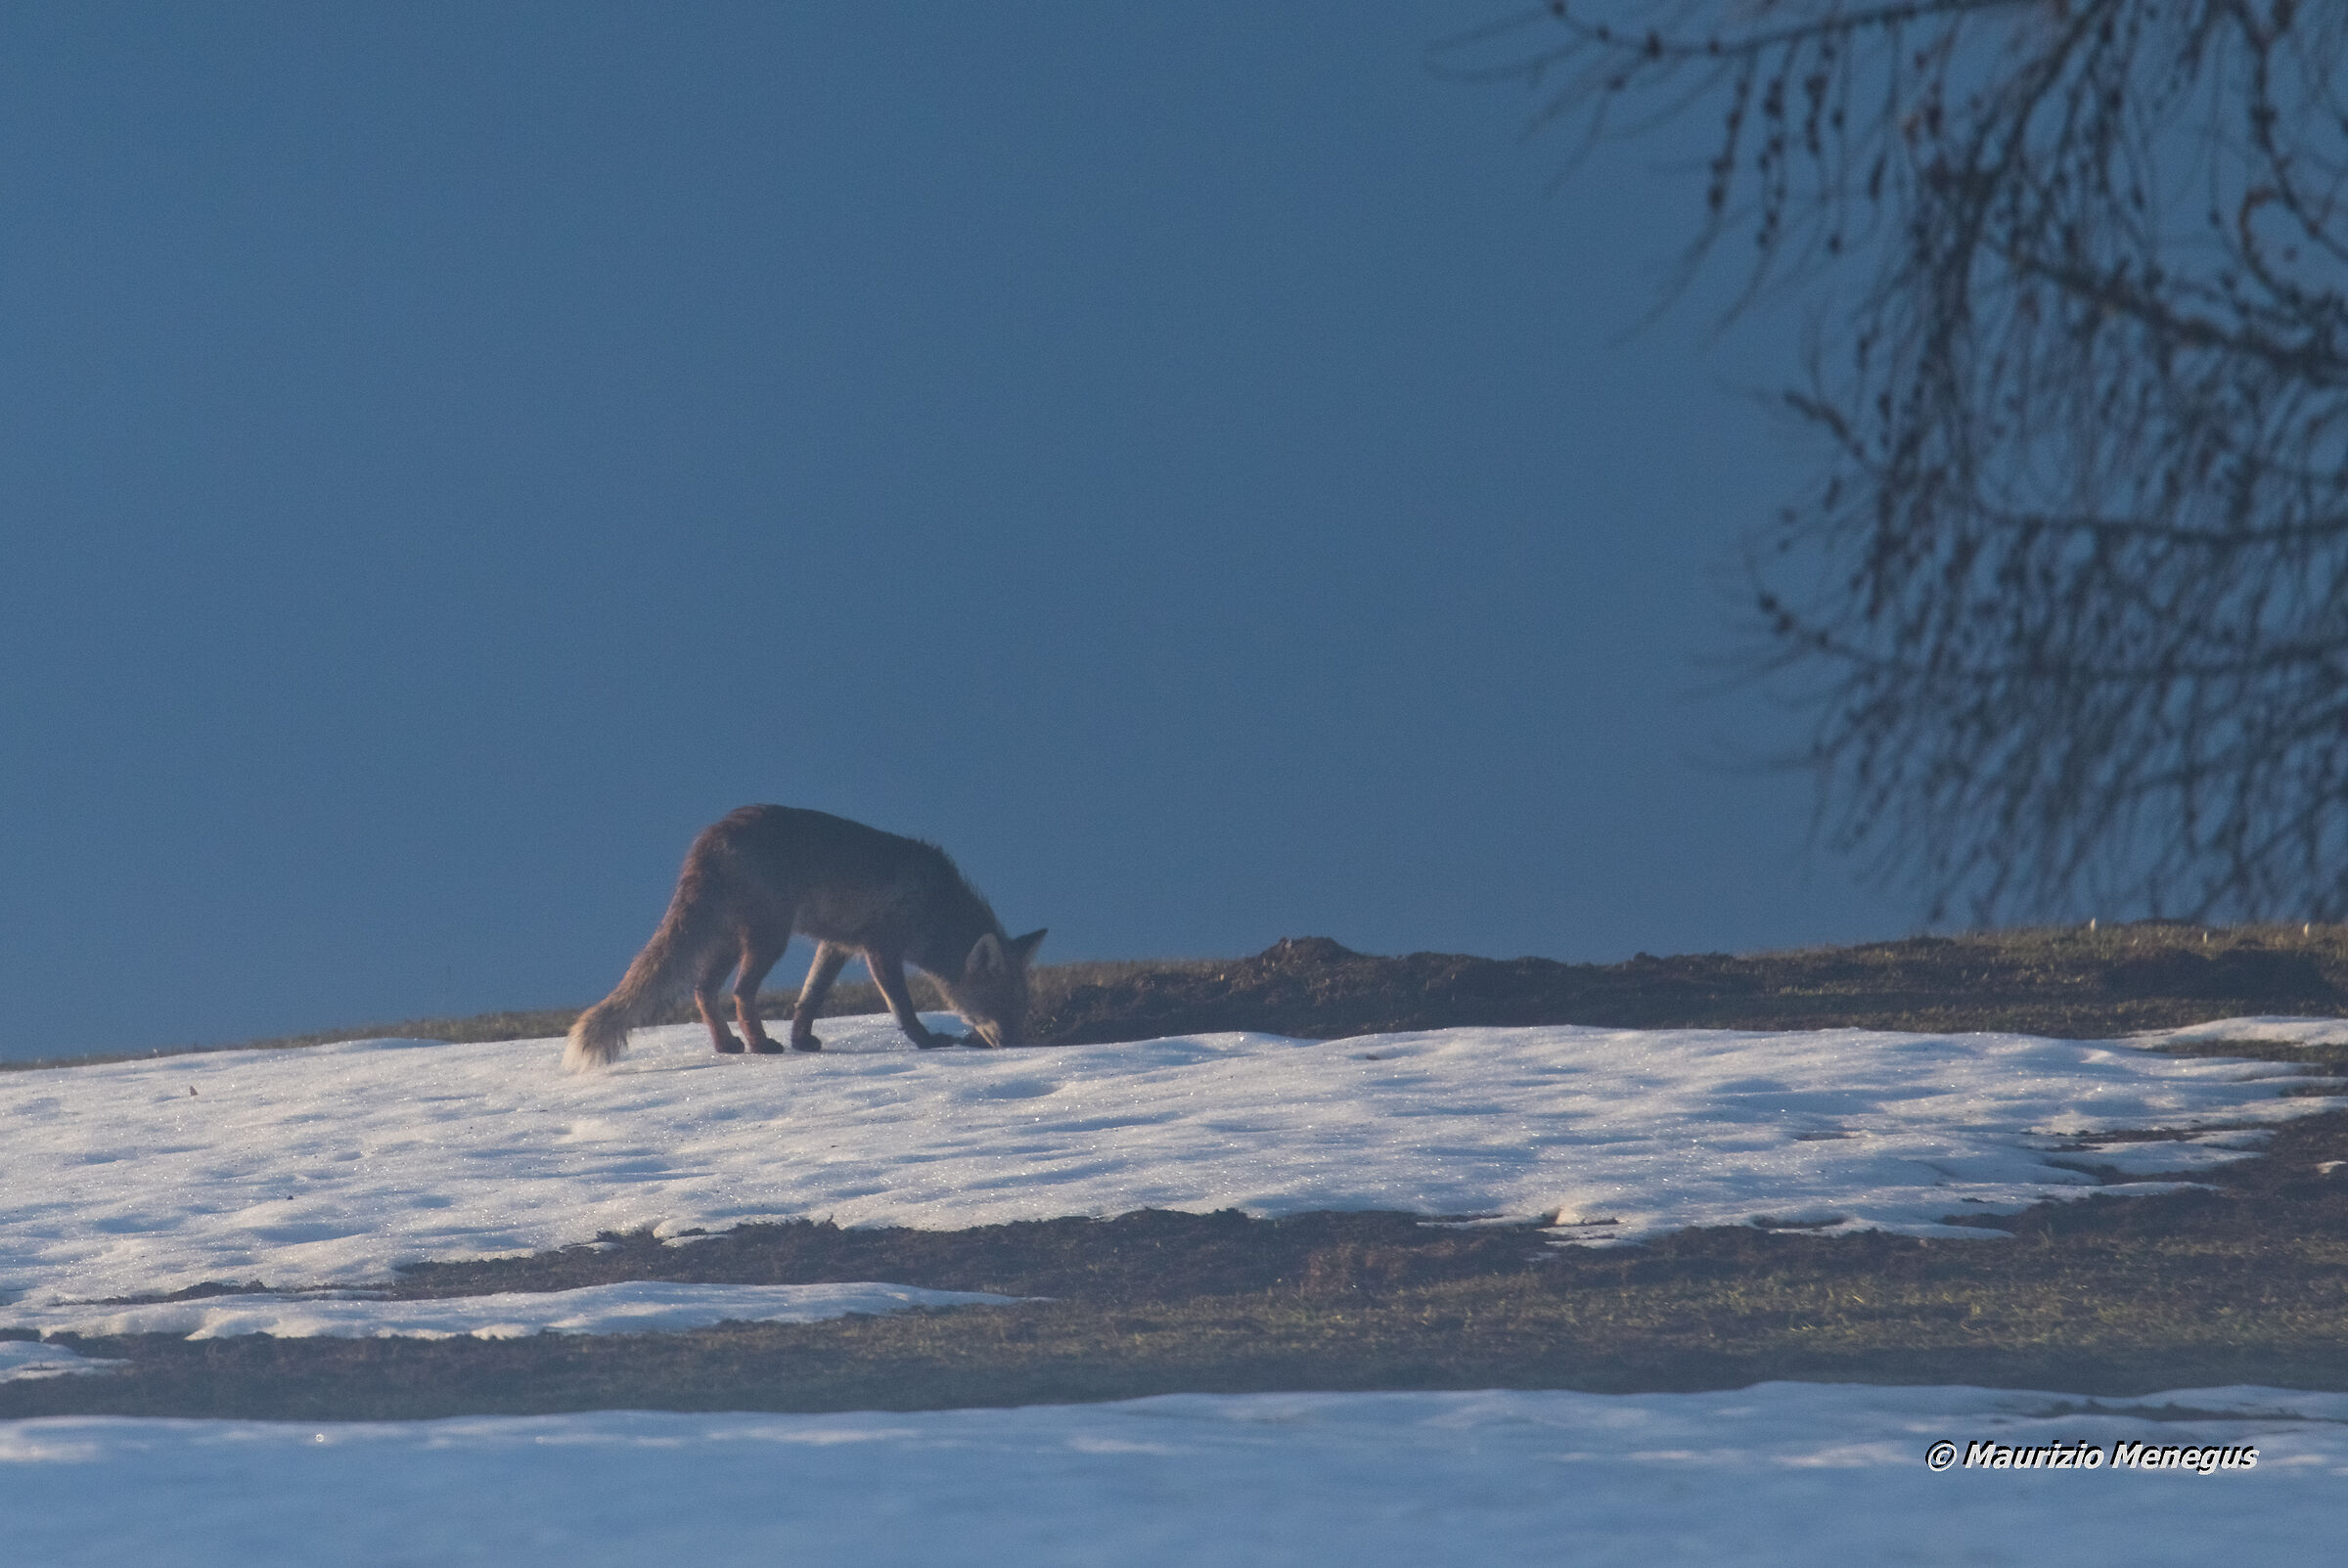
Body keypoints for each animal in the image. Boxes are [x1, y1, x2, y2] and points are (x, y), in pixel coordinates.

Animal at [562, 805, 1045, 1072]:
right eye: (1002, 1006)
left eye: (1023, 1008)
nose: (1017, 1046)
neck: (933, 904)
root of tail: (713, 834)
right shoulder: (880, 947)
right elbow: (902, 1007)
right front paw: (926, 1042)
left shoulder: (836, 945)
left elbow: (810, 999)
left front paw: (801, 1040)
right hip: (768, 939)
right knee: (740, 992)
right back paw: (760, 1046)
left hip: (728, 940)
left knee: (703, 989)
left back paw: (728, 1046)